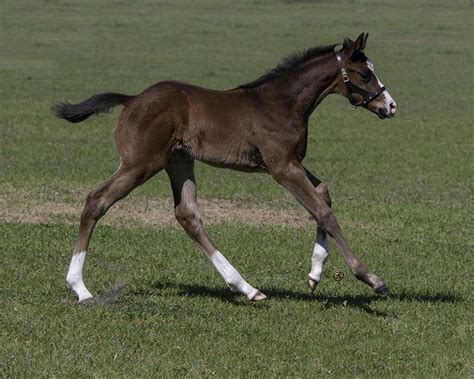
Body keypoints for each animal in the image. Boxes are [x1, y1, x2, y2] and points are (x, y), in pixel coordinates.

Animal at [54, 34, 396, 304]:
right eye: (365, 73)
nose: (390, 106)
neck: (281, 104)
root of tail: (132, 99)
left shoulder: (290, 163)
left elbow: (323, 194)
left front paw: (315, 273)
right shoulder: (282, 167)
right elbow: (323, 212)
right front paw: (372, 279)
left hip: (179, 161)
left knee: (187, 215)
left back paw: (246, 287)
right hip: (140, 164)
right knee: (96, 200)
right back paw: (80, 288)